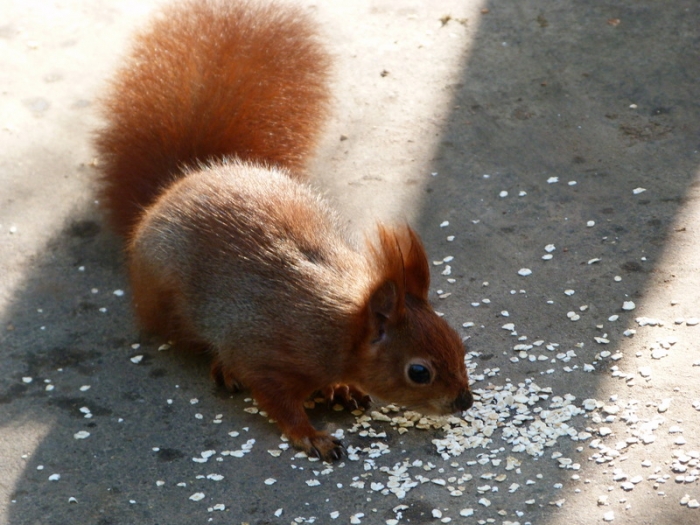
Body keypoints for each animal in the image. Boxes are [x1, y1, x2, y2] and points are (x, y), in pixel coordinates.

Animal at [94, 0, 473, 461]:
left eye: (456, 339)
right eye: (419, 371)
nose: (464, 401)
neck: (337, 330)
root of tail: (174, 184)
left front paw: (341, 388)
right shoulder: (266, 354)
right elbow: (275, 399)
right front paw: (311, 434)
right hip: (169, 304)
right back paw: (222, 367)